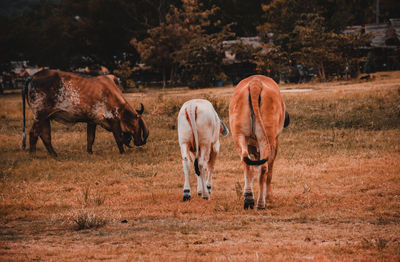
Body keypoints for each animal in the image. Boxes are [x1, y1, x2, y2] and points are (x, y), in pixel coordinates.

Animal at [228, 74, 290, 210]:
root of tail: (255, 83)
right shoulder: (275, 142)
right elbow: (270, 172)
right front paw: (269, 197)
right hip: (267, 138)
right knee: (264, 168)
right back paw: (261, 202)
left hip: (239, 135)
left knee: (246, 164)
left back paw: (248, 199)